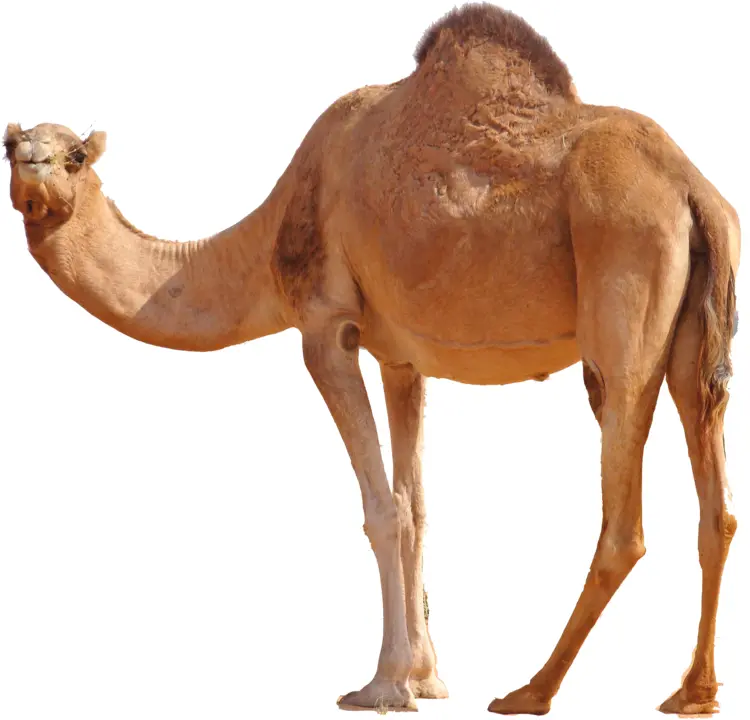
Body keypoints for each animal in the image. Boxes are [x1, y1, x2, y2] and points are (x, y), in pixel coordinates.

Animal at [4, 3, 741, 716]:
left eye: (74, 155)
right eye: (11, 147)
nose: (33, 170)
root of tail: (694, 189)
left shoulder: (326, 326)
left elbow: (382, 509)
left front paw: (383, 687)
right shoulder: (400, 359)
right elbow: (416, 505)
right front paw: (427, 678)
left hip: (623, 281)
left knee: (624, 517)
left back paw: (531, 692)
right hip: (694, 334)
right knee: (717, 503)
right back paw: (692, 693)